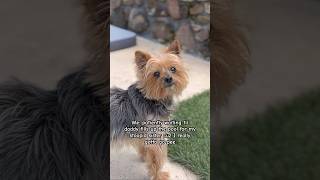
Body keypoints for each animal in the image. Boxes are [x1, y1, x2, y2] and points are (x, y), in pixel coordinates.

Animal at [111, 39, 189, 180]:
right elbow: (156, 159)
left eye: (173, 69)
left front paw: (144, 157)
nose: (168, 78)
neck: (153, 100)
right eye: (156, 74)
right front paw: (158, 175)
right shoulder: (155, 135)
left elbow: (145, 148)